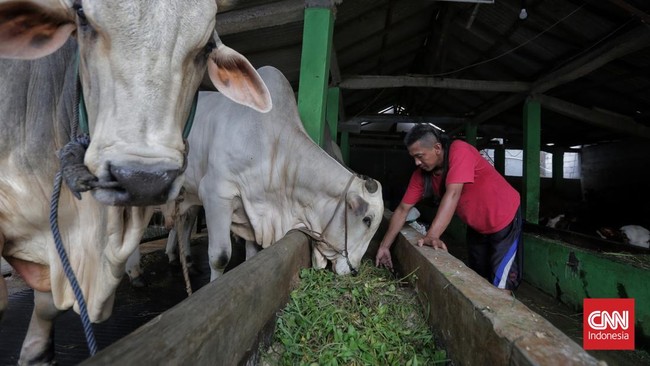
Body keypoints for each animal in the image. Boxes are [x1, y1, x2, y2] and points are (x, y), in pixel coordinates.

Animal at [165, 66, 382, 278]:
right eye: (367, 220)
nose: (354, 270)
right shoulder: (215, 194)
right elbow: (220, 257)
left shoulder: (253, 213)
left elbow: (251, 253)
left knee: (185, 220)